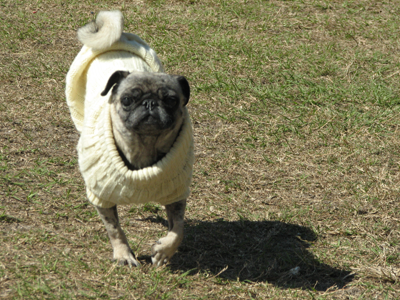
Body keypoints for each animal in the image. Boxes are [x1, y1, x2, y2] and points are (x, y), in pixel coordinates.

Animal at [65, 9, 194, 268]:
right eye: (127, 100)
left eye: (171, 100)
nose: (150, 103)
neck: (144, 146)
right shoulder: (102, 197)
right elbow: (114, 229)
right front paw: (123, 254)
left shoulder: (176, 194)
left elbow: (178, 229)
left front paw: (163, 251)